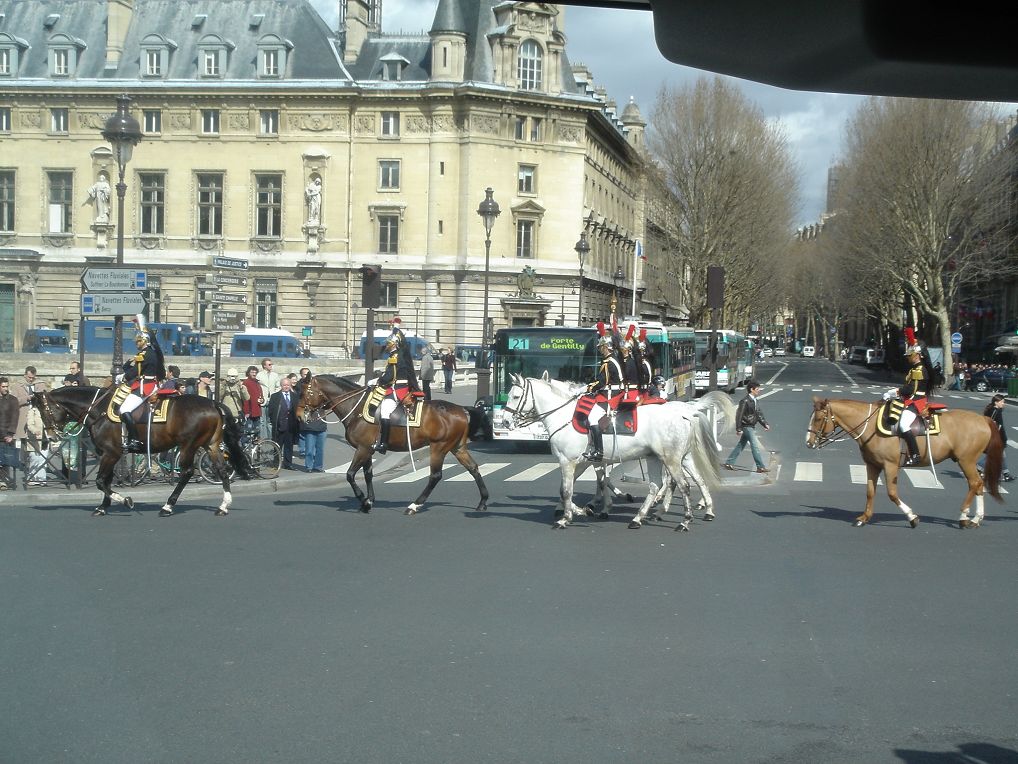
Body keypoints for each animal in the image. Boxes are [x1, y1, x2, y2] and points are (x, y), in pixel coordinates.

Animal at [32, 385, 254, 517]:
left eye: (45, 411)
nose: (51, 437)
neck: (99, 410)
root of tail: (213, 402)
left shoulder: (111, 453)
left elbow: (101, 481)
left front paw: (125, 500)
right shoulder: (110, 454)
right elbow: (106, 480)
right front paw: (103, 506)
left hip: (188, 445)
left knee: (187, 472)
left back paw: (168, 506)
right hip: (211, 444)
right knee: (222, 471)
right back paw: (223, 505)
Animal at [295, 374, 488, 515]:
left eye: (304, 393)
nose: (298, 416)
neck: (356, 408)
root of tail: (461, 409)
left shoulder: (362, 449)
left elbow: (350, 475)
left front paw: (363, 500)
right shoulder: (367, 449)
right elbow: (368, 475)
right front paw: (369, 500)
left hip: (439, 447)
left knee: (435, 476)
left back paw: (414, 505)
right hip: (457, 447)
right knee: (473, 468)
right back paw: (483, 501)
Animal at [502, 374, 728, 529]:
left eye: (515, 396)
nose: (505, 421)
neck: (563, 416)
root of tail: (684, 413)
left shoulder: (569, 461)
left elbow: (568, 489)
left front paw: (567, 517)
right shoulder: (584, 462)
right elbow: (582, 485)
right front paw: (583, 509)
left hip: (671, 459)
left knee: (682, 485)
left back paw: (683, 521)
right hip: (667, 458)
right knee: (674, 482)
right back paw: (643, 517)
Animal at [806, 397, 1005, 529]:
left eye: (818, 419)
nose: (809, 443)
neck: (870, 425)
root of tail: (983, 418)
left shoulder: (890, 465)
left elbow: (892, 494)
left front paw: (912, 517)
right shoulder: (872, 465)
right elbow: (870, 492)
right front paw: (864, 517)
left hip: (966, 460)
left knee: (975, 483)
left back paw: (964, 516)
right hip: (967, 461)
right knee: (978, 485)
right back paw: (976, 519)